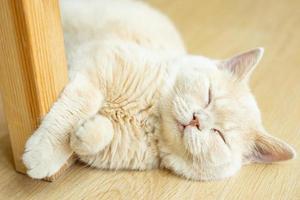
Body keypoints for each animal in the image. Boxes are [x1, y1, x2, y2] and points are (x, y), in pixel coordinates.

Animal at [21, 0, 296, 181]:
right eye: (208, 96)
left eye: (219, 135)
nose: (197, 120)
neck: (150, 118)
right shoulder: (100, 62)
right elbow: (78, 105)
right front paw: (44, 154)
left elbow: (96, 135)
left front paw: (87, 132)